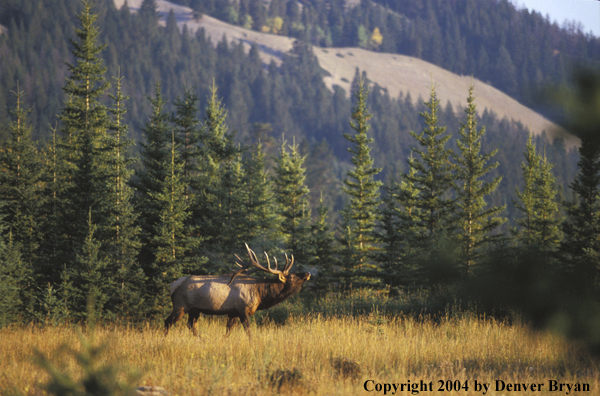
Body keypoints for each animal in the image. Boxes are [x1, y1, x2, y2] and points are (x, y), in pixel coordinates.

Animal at [165, 244, 312, 338]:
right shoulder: (242, 310)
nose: (307, 273)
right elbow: (248, 332)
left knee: (191, 325)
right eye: (291, 276)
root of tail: (172, 285)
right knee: (168, 321)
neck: (260, 294)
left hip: (195, 309)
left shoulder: (232, 313)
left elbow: (228, 332)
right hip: (180, 306)